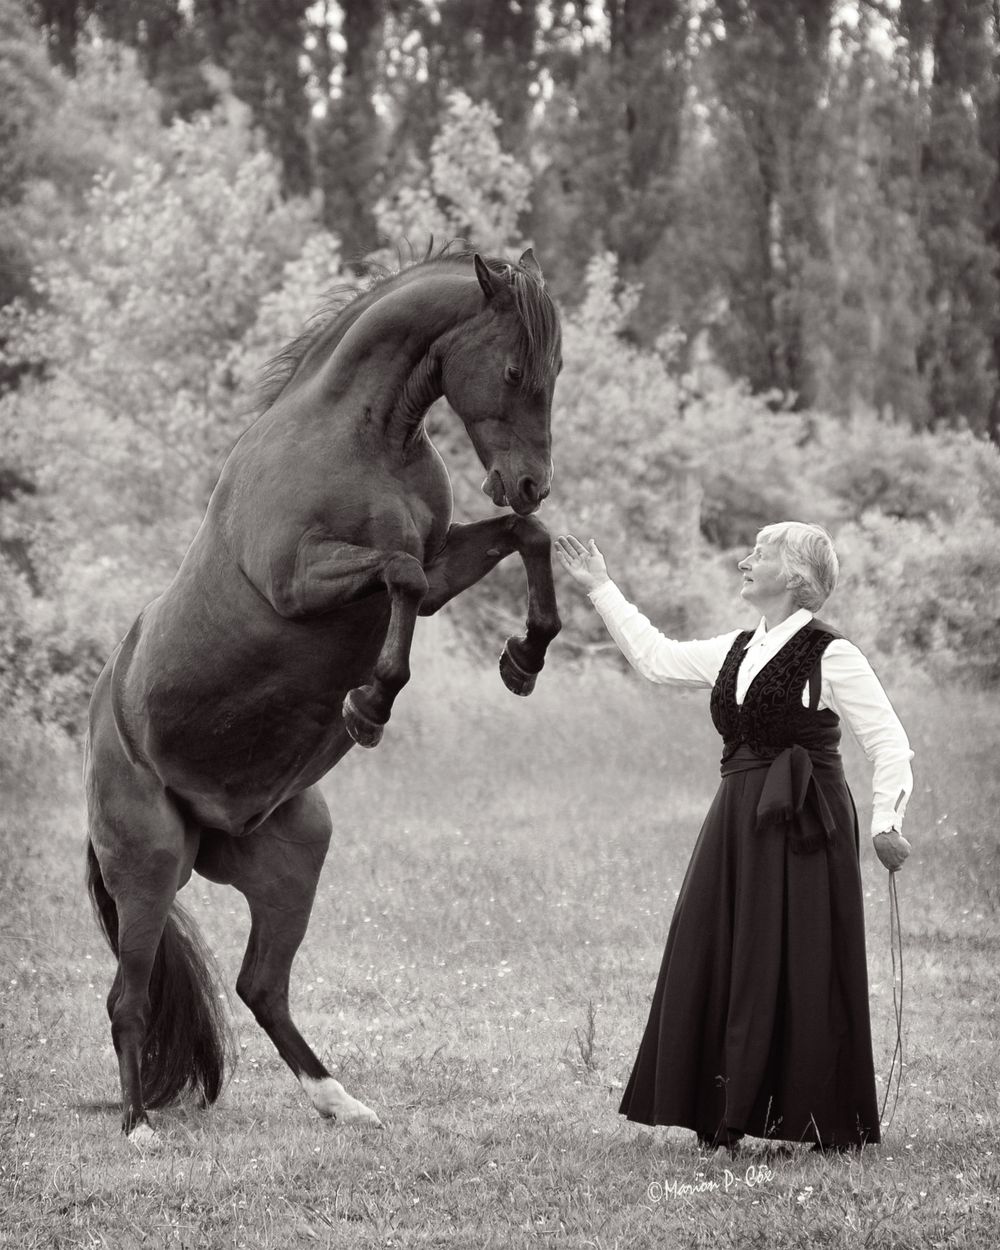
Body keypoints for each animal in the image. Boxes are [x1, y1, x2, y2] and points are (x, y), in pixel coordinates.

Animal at [84, 246, 563, 1142]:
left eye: (555, 370)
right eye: (514, 368)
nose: (529, 482)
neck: (362, 440)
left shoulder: (445, 563)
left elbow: (524, 541)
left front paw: (526, 657)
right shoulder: (302, 580)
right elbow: (401, 573)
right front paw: (369, 704)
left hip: (294, 856)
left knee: (260, 988)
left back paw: (341, 1100)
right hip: (150, 870)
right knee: (127, 998)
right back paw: (138, 1127)